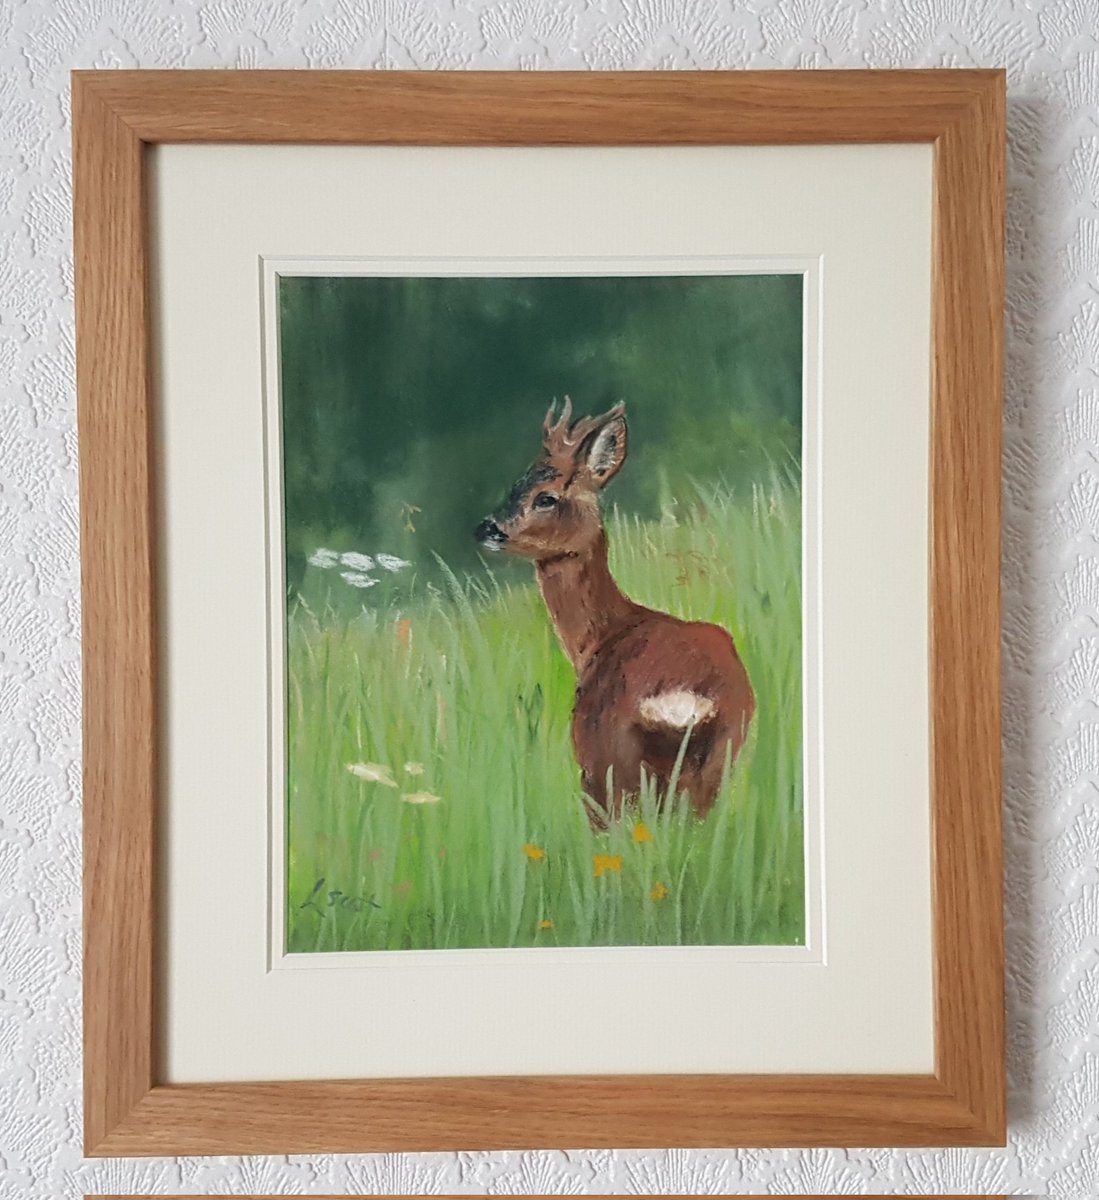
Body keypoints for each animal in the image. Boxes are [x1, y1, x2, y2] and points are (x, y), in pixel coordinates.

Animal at [475, 398, 755, 825]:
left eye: (546, 496)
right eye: (515, 485)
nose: (487, 528)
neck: (600, 637)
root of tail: (681, 698)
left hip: (608, 759)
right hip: (719, 755)